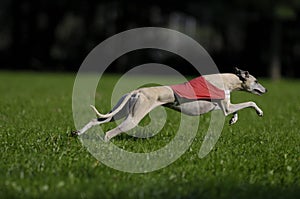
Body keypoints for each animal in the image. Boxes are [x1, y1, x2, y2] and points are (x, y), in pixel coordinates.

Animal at [72, 67, 268, 141]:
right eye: (256, 80)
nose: (266, 90)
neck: (227, 80)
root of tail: (138, 91)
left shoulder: (226, 106)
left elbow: (233, 111)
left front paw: (233, 120)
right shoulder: (225, 105)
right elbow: (249, 101)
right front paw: (259, 112)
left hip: (118, 112)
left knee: (97, 120)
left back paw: (78, 133)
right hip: (133, 118)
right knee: (110, 132)